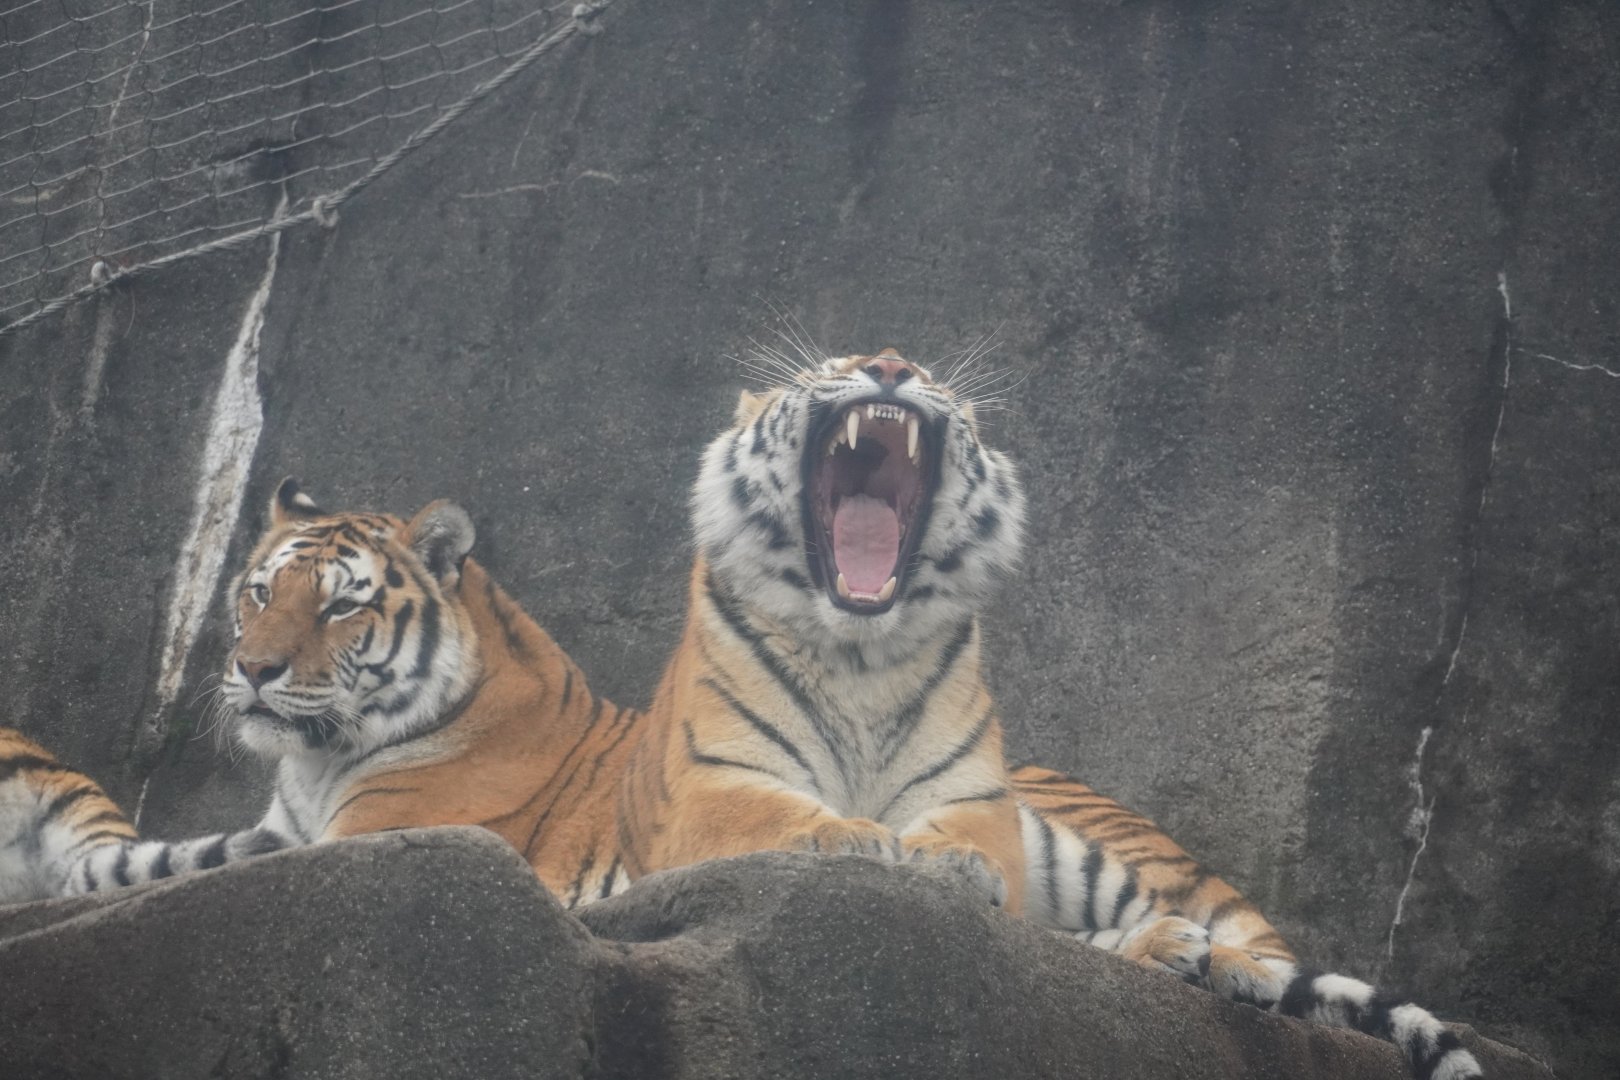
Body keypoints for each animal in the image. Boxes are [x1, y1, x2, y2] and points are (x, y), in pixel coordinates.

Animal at [8, 480, 641, 908]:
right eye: (262, 593)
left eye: (340, 607)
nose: (254, 667)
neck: (316, 765)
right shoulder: (276, 836)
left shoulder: (368, 840)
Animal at [622, 346, 1481, 1080]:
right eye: (829, 364)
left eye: (925, 372)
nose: (890, 366)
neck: (859, 654)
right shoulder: (713, 784)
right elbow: (776, 816)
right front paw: (854, 839)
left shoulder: (974, 793)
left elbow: (965, 835)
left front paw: (946, 859)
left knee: (1219, 936)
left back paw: (1224, 966)